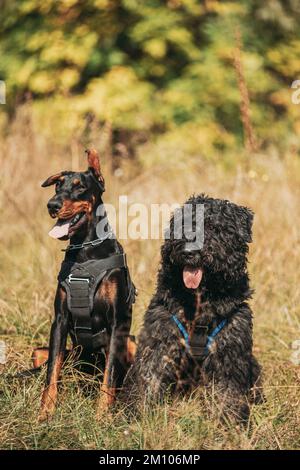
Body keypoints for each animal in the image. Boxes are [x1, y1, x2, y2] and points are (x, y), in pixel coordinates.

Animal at [38, 149, 136, 420]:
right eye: (58, 186)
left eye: (80, 186)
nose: (52, 205)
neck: (85, 253)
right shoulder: (59, 320)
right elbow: (52, 372)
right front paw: (45, 413)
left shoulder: (116, 323)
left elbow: (109, 375)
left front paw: (102, 416)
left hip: (131, 342)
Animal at [124, 195, 262, 422]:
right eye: (183, 225)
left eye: (213, 227)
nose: (189, 252)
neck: (199, 301)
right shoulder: (159, 342)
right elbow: (149, 380)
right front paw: (139, 416)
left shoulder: (229, 352)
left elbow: (228, 393)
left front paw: (229, 424)